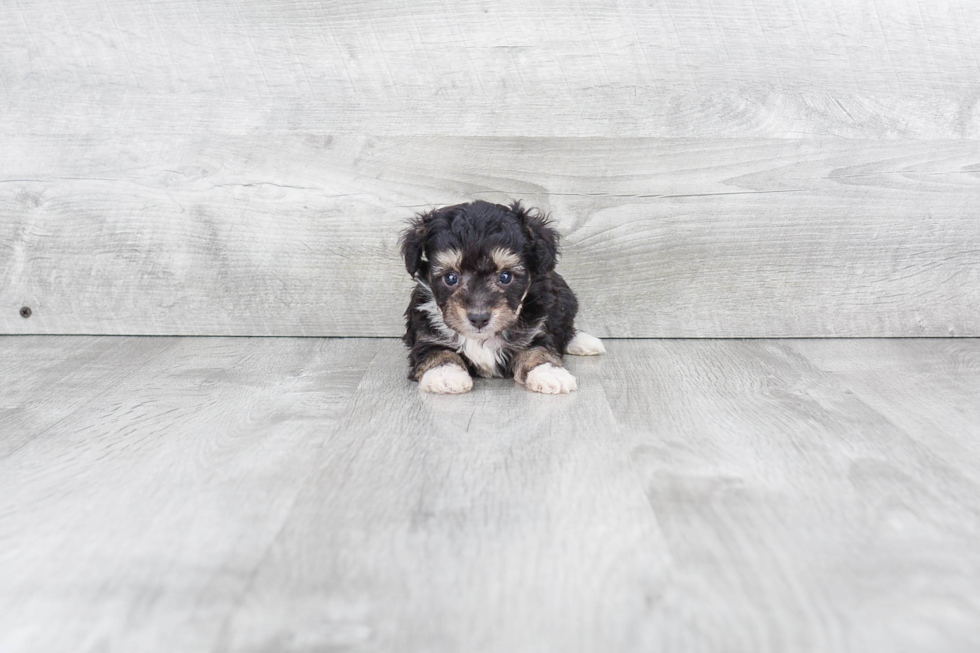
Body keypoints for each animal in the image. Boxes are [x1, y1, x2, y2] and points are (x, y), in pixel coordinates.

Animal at [400, 199, 604, 392]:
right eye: (450, 278)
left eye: (505, 277)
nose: (479, 318)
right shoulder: (426, 334)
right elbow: (436, 351)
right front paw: (446, 374)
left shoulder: (535, 331)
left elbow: (538, 349)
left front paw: (549, 372)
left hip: (565, 299)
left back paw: (584, 342)